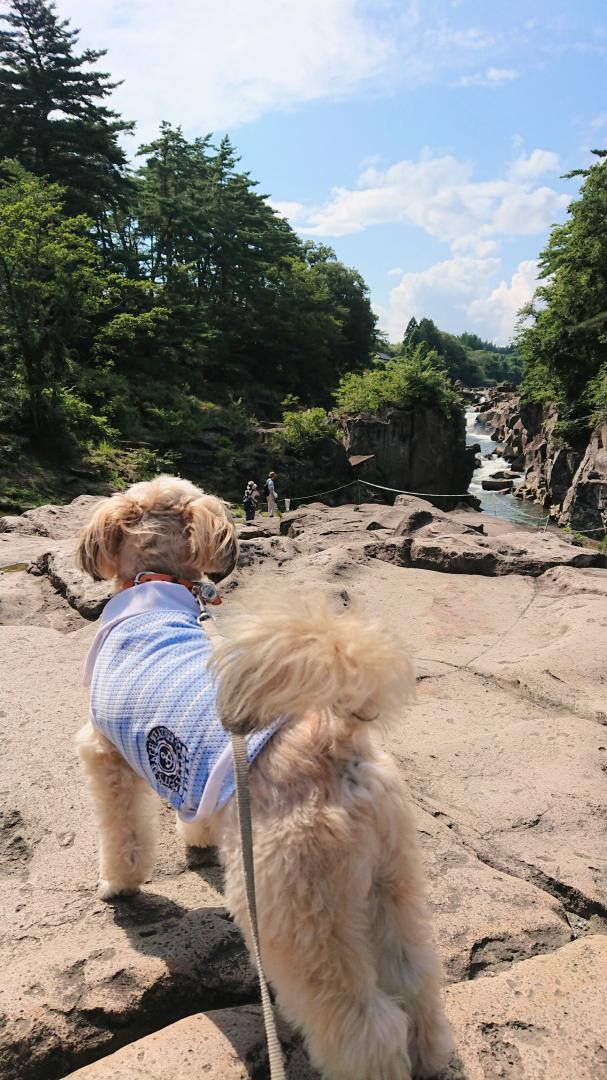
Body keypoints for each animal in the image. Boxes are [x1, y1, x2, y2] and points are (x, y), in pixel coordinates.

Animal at [74, 479, 449, 1080]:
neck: (154, 584)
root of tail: (333, 738)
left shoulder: (105, 754)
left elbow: (122, 834)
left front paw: (118, 885)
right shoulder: (199, 782)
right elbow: (194, 812)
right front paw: (197, 843)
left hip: (291, 909)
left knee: (365, 1024)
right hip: (391, 881)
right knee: (415, 982)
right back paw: (432, 1054)